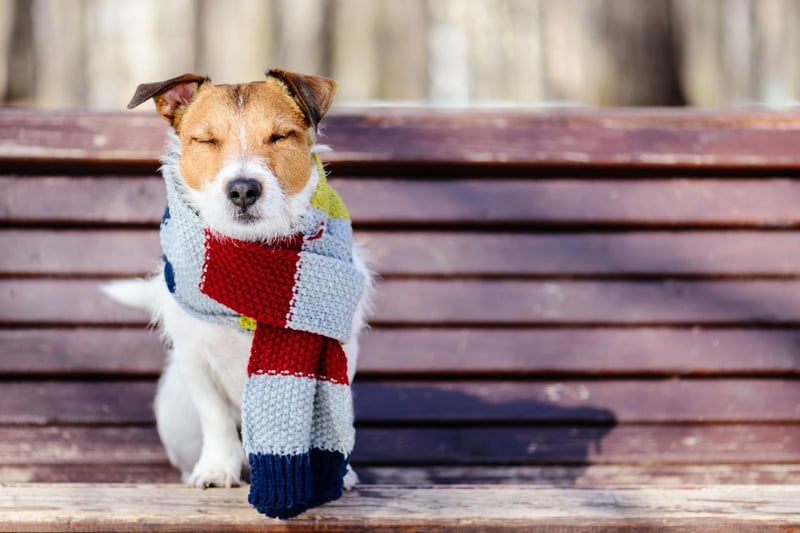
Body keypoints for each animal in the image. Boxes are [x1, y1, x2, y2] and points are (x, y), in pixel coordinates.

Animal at [102, 70, 372, 490]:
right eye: (206, 140)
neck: (252, 254)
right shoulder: (194, 357)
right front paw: (217, 468)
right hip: (175, 416)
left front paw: (335, 472)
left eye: (279, 136)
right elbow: (215, 417)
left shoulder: (343, 352)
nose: (243, 188)